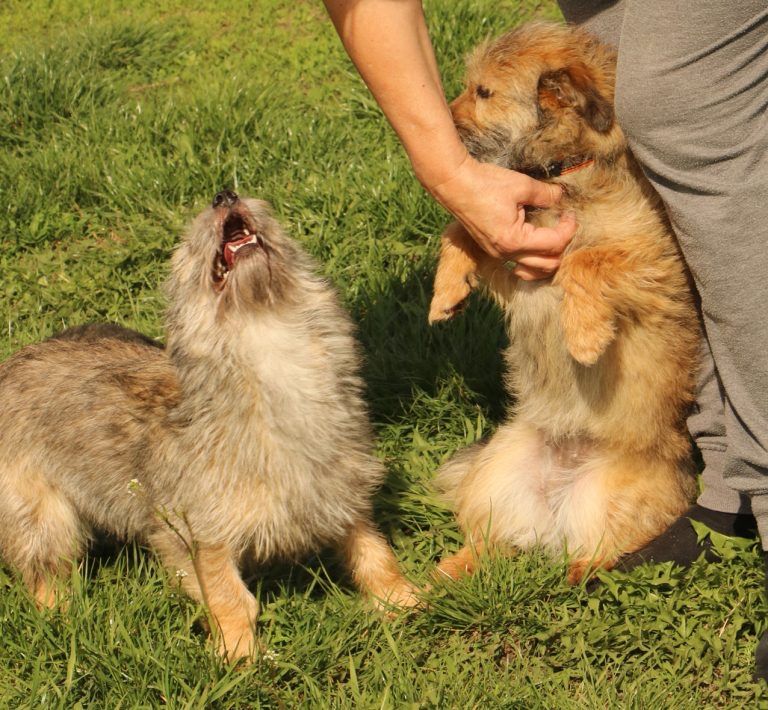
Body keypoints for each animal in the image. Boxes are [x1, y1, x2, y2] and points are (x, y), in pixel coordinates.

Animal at [428, 25, 700, 588]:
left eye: (482, 92)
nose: (441, 123)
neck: (561, 172)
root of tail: (552, 506)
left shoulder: (653, 267)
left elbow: (585, 261)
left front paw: (584, 336)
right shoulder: (520, 270)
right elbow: (460, 226)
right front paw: (446, 293)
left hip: (611, 497)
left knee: (603, 548)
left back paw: (580, 570)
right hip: (496, 467)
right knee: (489, 543)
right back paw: (434, 580)